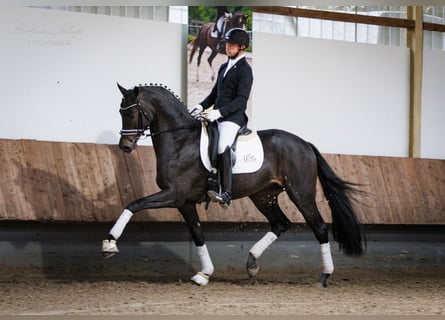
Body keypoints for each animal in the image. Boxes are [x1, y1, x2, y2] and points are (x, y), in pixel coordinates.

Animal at [102, 84, 366, 286]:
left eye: (131, 113)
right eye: (120, 112)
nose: (125, 146)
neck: (180, 141)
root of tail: (305, 144)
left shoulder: (173, 195)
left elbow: (134, 204)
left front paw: (110, 243)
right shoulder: (185, 202)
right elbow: (197, 234)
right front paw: (204, 274)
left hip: (301, 193)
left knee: (319, 227)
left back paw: (325, 275)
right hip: (263, 195)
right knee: (280, 223)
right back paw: (252, 263)